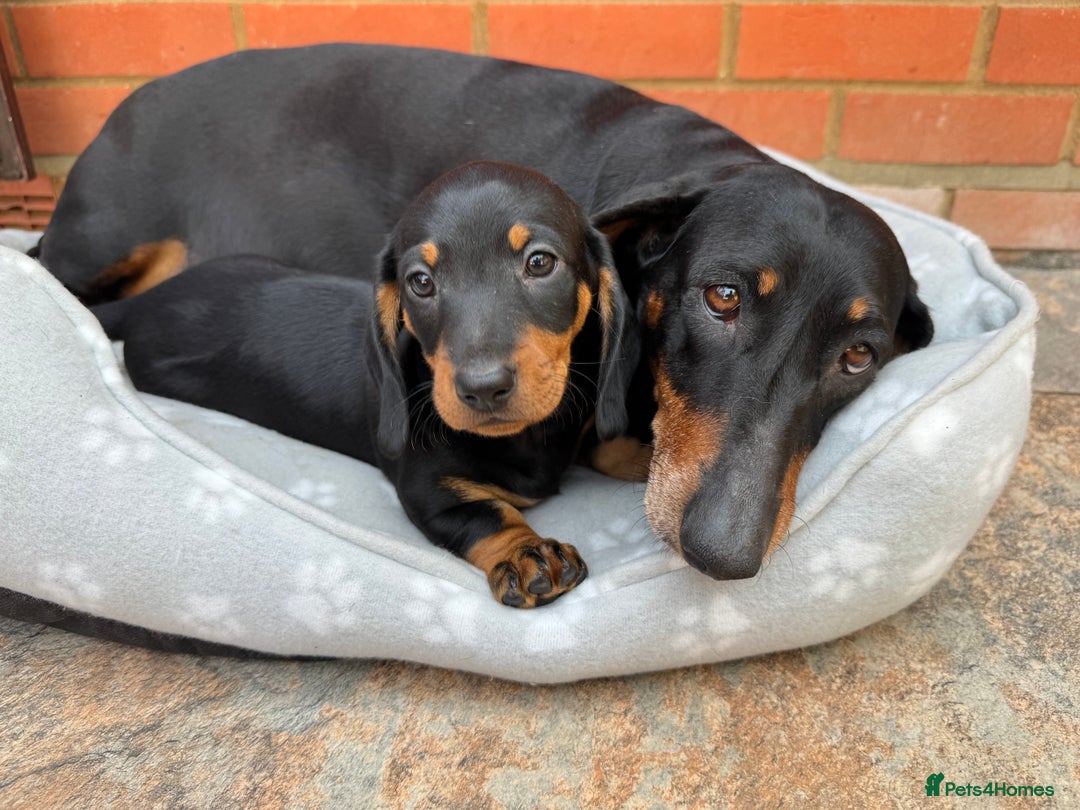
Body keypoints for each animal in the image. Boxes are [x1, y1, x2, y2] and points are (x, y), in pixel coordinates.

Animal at [90, 161, 638, 608]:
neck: (526, 438)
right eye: (421, 282)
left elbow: (608, 444)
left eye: (540, 262)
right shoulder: (429, 491)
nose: (483, 388)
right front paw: (526, 554)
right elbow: (489, 515)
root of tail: (148, 300)